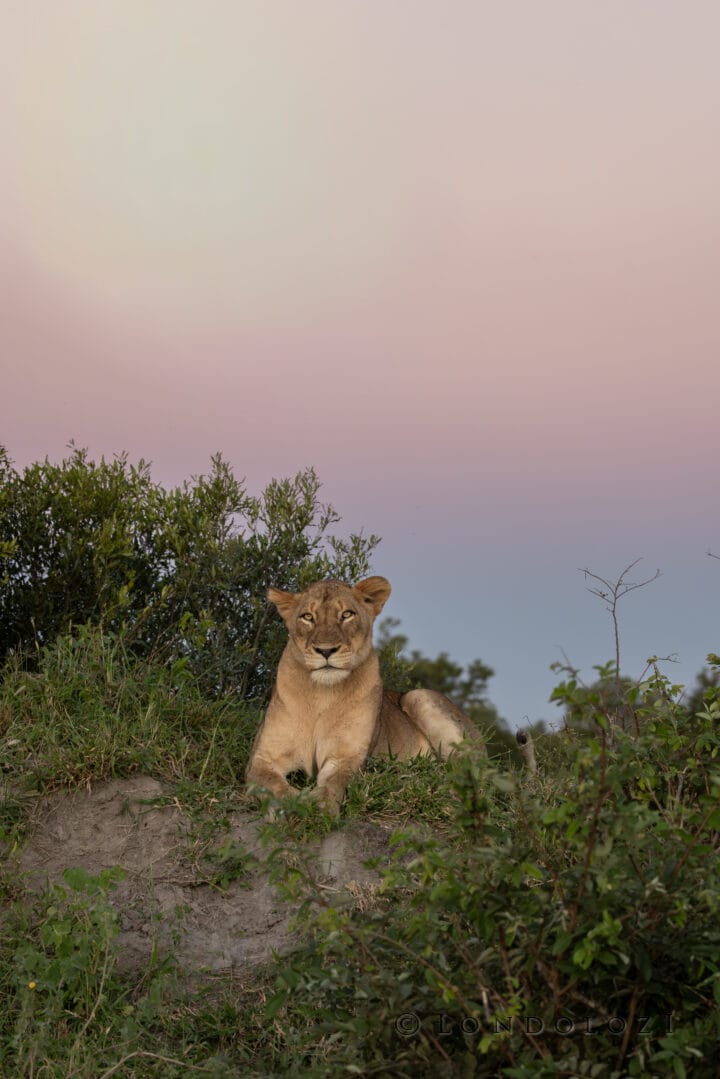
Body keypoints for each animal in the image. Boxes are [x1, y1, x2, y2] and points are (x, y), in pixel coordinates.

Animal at [245, 575, 485, 816]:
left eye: (346, 614)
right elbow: (269, 782)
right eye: (308, 617)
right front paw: (292, 805)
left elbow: (335, 783)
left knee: (473, 773)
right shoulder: (262, 757)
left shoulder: (347, 757)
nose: (326, 650)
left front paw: (322, 808)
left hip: (419, 696)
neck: (322, 695)